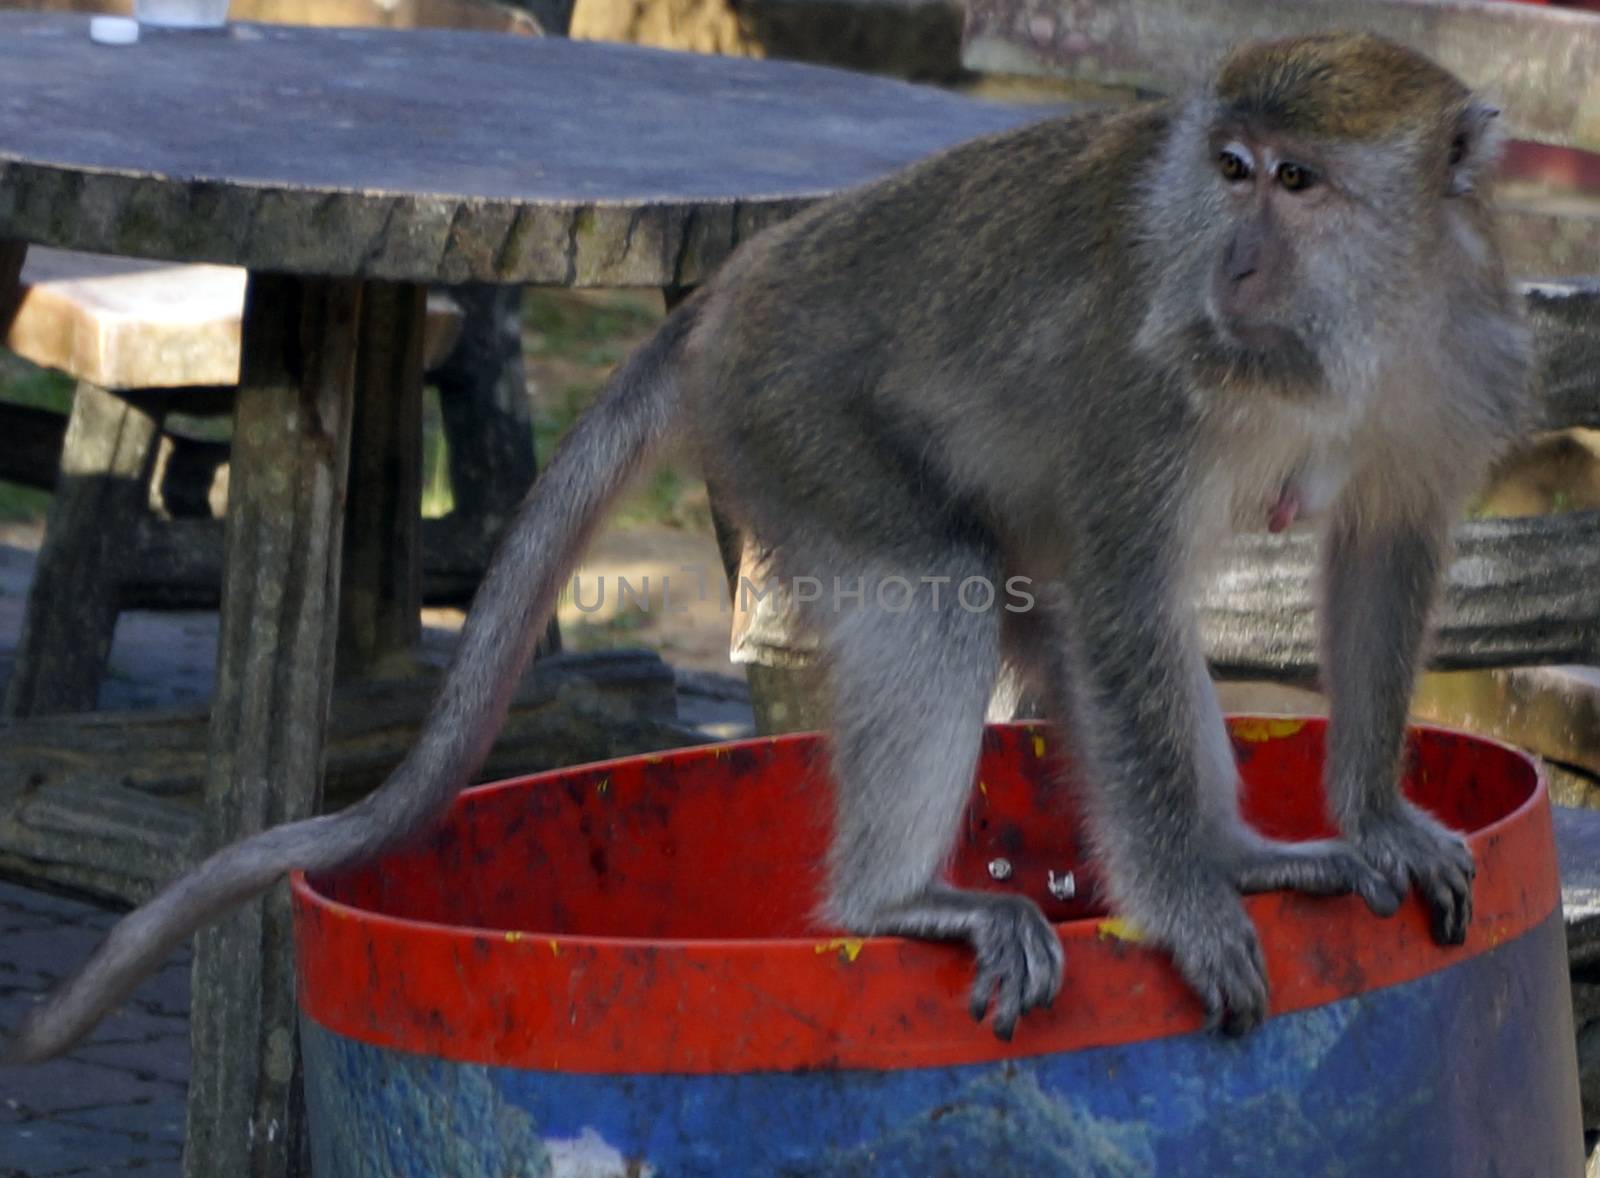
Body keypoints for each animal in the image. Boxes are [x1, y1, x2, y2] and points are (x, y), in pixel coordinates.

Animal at [9, 32, 1536, 1056]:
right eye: (1231, 174)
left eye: (1301, 181)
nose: (1232, 262)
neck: (1336, 339)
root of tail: (733, 288)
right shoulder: (1149, 393)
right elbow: (1124, 589)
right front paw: (1190, 899)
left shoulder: (1456, 352)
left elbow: (1386, 549)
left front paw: (1367, 813)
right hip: (791, 414)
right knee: (946, 594)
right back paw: (908, 897)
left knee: (1025, 608)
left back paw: (1231, 845)